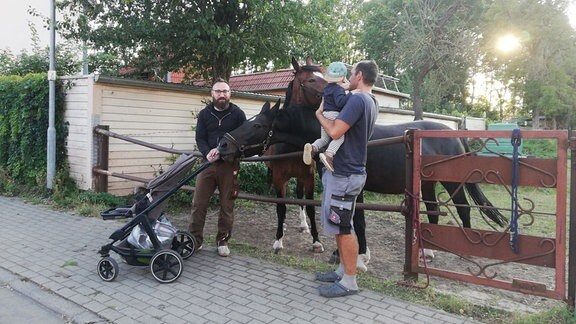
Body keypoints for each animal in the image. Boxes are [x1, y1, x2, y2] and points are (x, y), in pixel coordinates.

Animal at [218, 58, 506, 258]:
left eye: (257, 126)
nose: (224, 144)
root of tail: (456, 135)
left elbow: (355, 219)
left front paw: (356, 254)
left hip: (450, 182)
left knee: (463, 209)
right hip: (427, 183)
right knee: (436, 210)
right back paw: (430, 250)